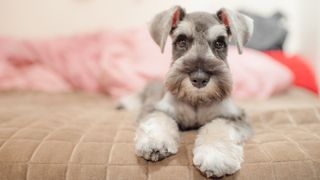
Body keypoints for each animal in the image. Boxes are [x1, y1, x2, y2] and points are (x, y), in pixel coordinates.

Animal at [119, 5, 254, 179]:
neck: (196, 100)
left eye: (219, 43)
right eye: (181, 41)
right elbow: (158, 118)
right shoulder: (156, 108)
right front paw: (155, 141)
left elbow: (219, 127)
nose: (199, 78)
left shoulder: (234, 117)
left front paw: (216, 157)